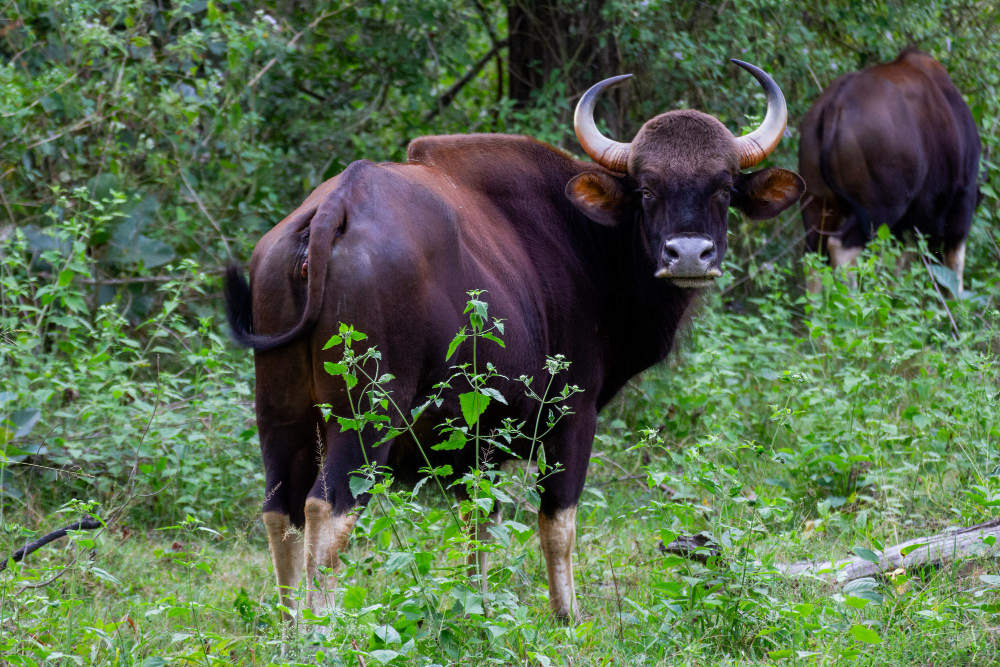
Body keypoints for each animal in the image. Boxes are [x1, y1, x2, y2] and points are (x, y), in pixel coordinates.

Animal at [225, 60, 804, 621]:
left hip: (279, 411)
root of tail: (332, 211)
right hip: (368, 413)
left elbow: (478, 524)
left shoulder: (475, 442)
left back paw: (289, 627)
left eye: (724, 188)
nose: (687, 255)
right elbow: (557, 523)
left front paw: (477, 612)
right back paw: (324, 629)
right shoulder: (571, 415)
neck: (589, 241)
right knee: (328, 507)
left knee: (280, 510)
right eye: (646, 189)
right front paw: (566, 617)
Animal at [799, 48, 980, 291]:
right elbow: (953, 269)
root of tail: (833, 107)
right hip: (880, 208)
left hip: (818, 204)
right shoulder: (961, 200)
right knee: (841, 248)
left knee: (813, 257)